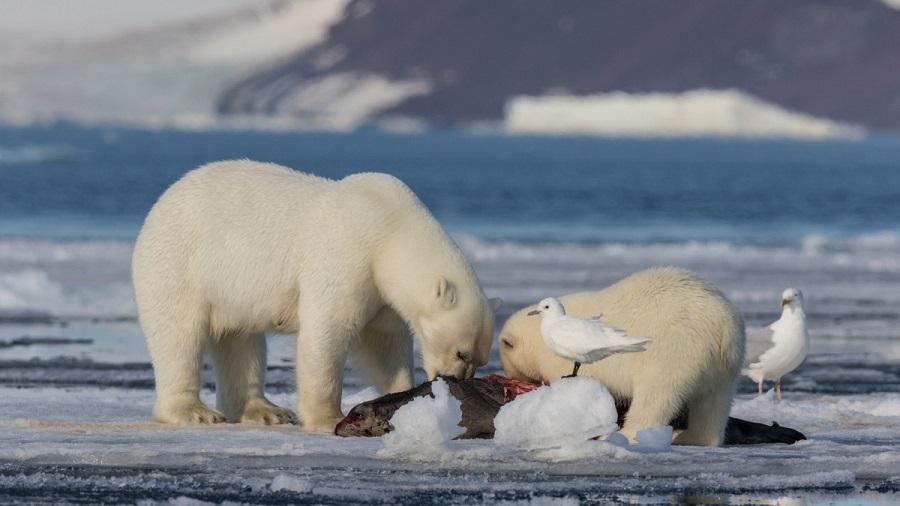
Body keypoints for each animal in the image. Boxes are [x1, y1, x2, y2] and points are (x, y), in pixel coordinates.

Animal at [133, 161, 500, 430]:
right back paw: (195, 411)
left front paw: (405, 398)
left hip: (232, 292)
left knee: (242, 343)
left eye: (480, 359)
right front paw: (328, 418)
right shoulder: (347, 255)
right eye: (462, 352)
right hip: (180, 265)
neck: (390, 227)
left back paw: (266, 411)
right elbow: (328, 331)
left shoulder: (381, 291)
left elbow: (384, 343)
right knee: (178, 337)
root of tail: (159, 206)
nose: (458, 380)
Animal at [500, 266, 744, 444]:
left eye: (507, 363)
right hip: (724, 366)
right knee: (713, 403)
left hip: (674, 351)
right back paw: (691, 437)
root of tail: (723, 325)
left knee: (656, 395)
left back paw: (627, 434)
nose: (513, 379)